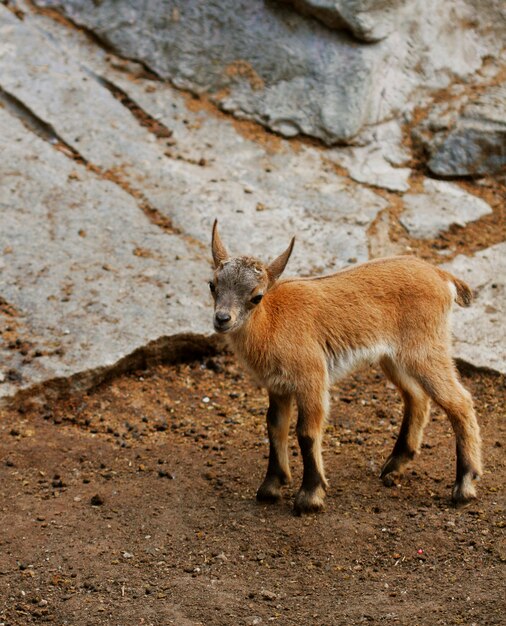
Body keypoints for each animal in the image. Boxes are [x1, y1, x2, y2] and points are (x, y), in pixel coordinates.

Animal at [209, 219, 482, 512]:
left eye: (256, 296)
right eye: (212, 285)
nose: (222, 319)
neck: (271, 321)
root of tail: (442, 277)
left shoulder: (312, 378)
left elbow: (306, 431)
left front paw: (310, 496)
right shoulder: (278, 387)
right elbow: (274, 425)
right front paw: (270, 487)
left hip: (426, 349)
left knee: (460, 401)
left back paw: (464, 486)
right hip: (394, 358)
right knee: (416, 396)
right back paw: (394, 465)